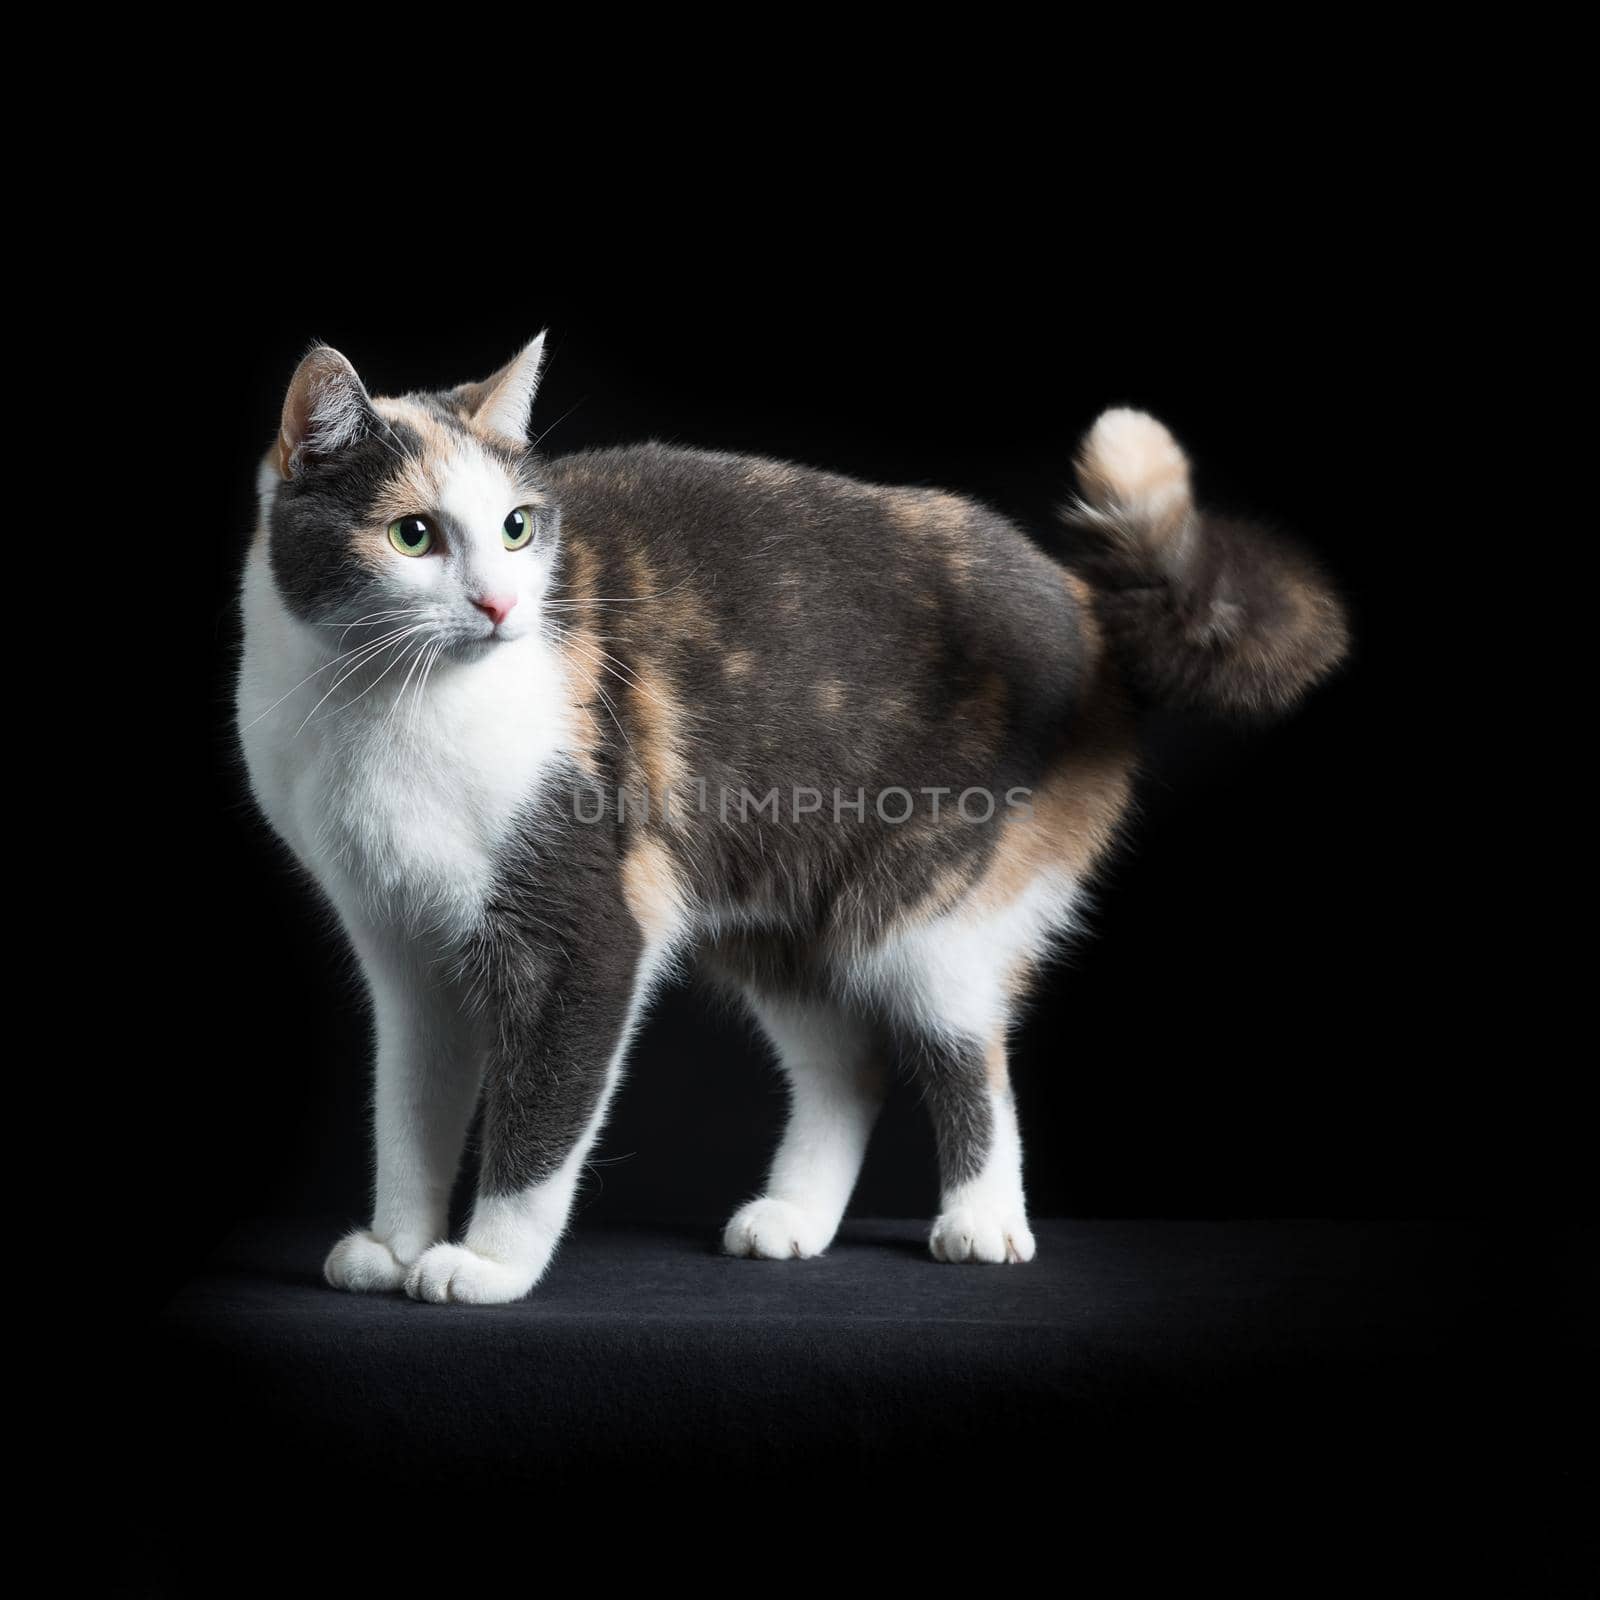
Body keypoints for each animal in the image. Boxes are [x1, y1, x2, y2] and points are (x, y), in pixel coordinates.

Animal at [232, 334, 1344, 1299]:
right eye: (413, 533)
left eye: (517, 526)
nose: (502, 607)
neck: (383, 705)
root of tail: (1087, 608)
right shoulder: (403, 951)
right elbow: (409, 1107)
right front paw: (394, 1244)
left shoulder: (586, 933)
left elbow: (542, 1111)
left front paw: (488, 1264)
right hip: (779, 914)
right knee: (846, 1064)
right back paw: (795, 1217)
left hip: (930, 907)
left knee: (965, 1052)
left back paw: (983, 1220)